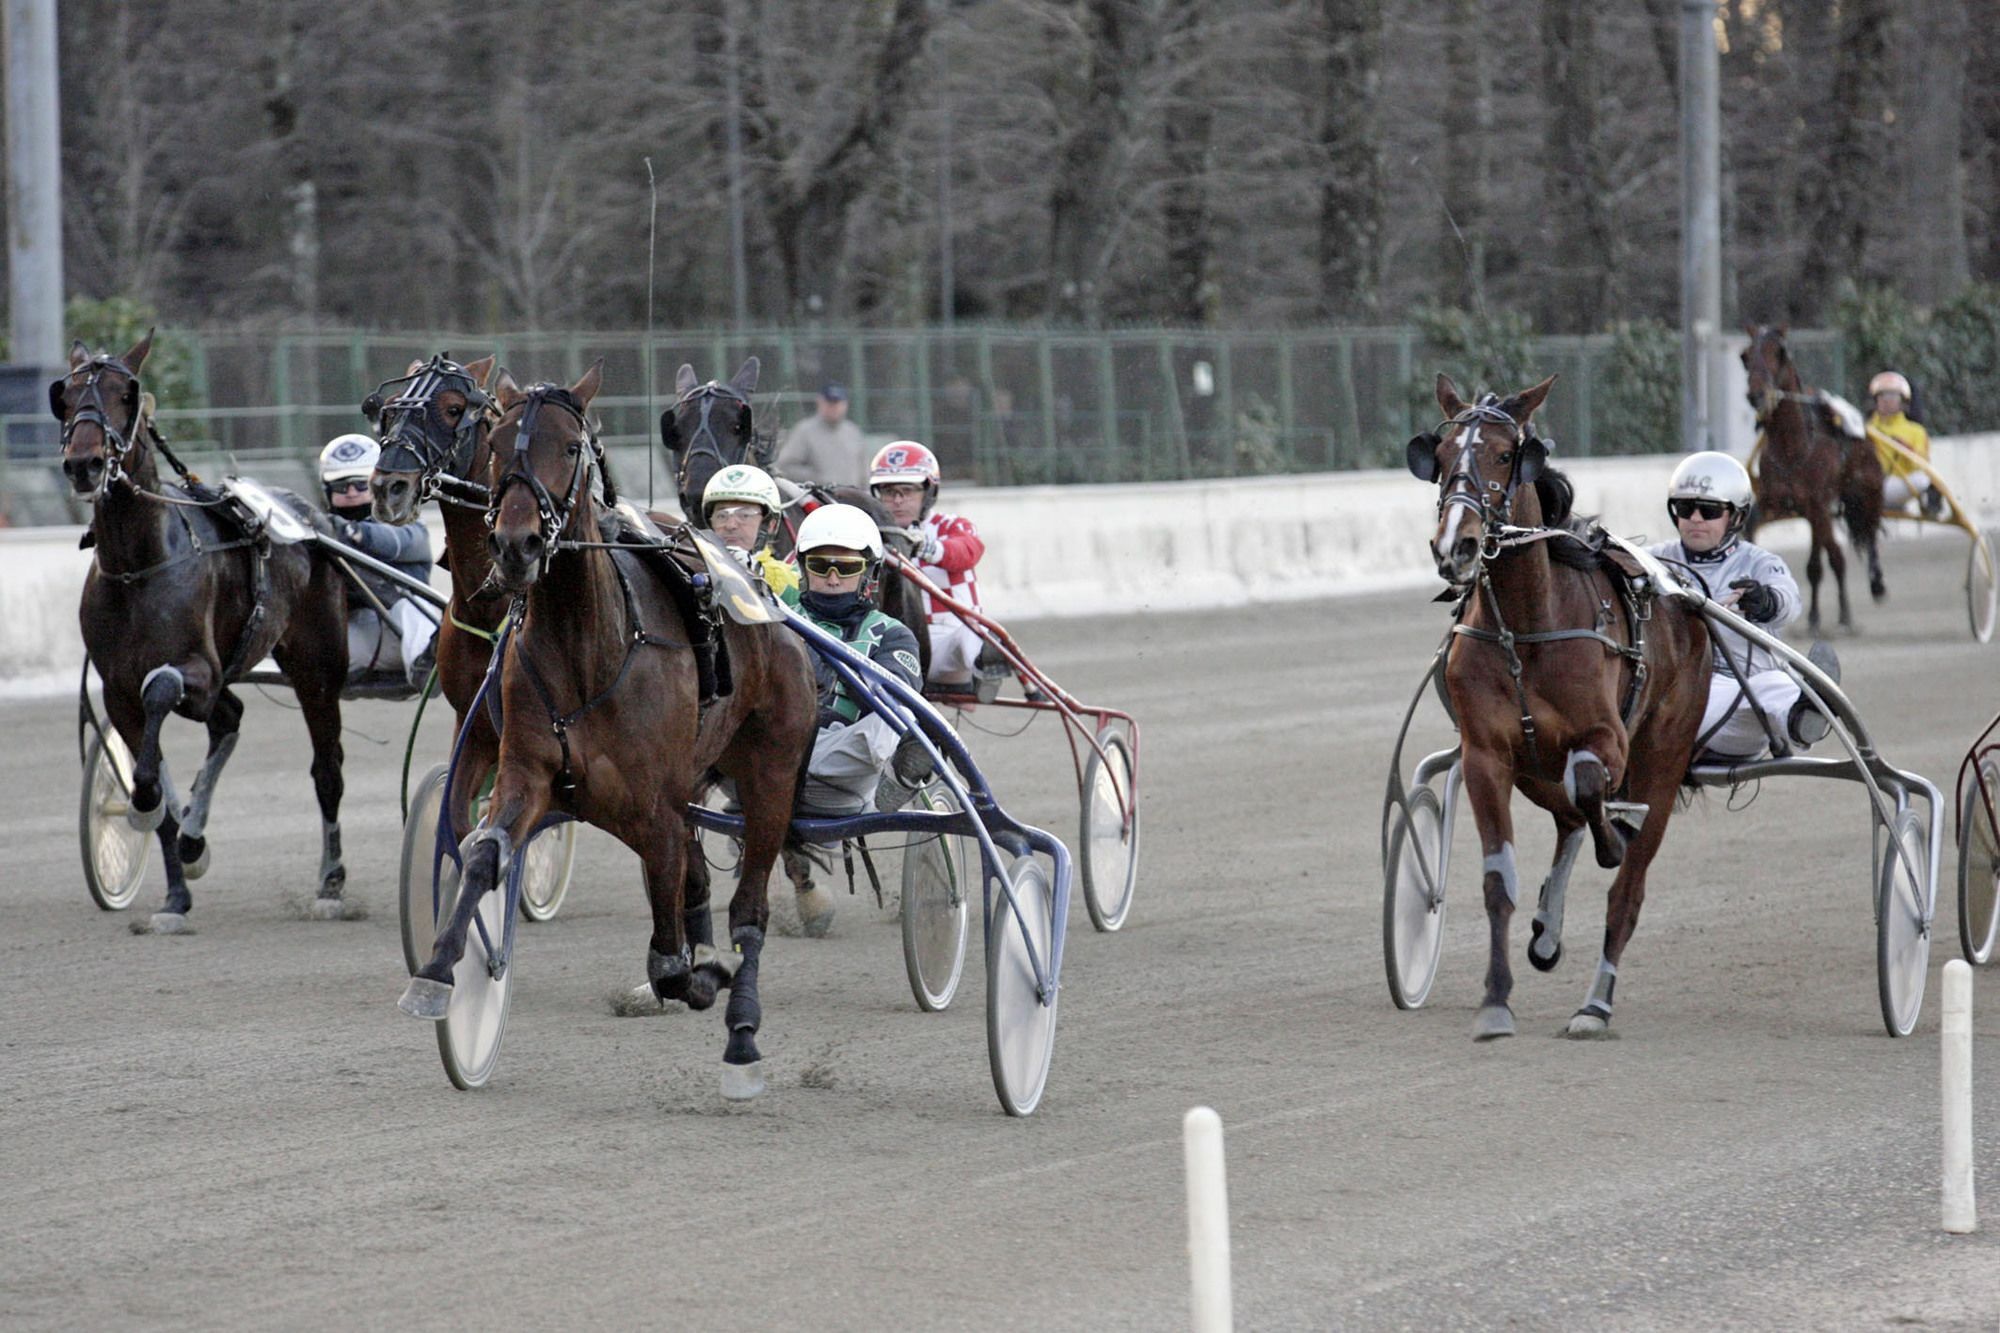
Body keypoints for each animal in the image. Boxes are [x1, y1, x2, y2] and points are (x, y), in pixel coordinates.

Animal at [56, 332, 354, 924]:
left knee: (326, 769)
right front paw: (175, 889)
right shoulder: (118, 687)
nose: (84, 463)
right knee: (231, 716)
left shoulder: (199, 669)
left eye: (126, 393)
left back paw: (330, 883)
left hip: (316, 668)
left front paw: (154, 807)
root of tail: (310, 520)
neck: (137, 566)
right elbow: (151, 772)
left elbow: (161, 689)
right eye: (67, 394)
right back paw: (192, 839)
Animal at [402, 360, 816, 1088]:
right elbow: (480, 852)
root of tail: (769, 598)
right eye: (497, 444)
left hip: (771, 773)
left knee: (751, 909)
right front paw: (440, 972)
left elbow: (670, 958)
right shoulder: (524, 768)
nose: (515, 545)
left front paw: (701, 979)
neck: (588, 644)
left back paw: (741, 1030)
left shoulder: (653, 806)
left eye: (570, 448)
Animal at [1416, 374, 1712, 1040]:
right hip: (1532, 769)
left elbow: (1590, 784)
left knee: (1624, 884)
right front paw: (1496, 1001)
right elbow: (1499, 879)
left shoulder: (1608, 738)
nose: (1456, 547)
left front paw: (1613, 840)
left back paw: (1595, 1004)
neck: (1526, 630)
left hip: (1663, 757)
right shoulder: (1487, 756)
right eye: (1441, 457)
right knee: (1569, 817)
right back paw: (1549, 930)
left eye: (1506, 455)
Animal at [1744, 324, 1880, 632]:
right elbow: (1751, 528)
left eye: (1779, 352)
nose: (1757, 394)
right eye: (1744, 356)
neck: (1792, 448)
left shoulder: (1818, 504)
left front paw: (1835, 617)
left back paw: (1873, 587)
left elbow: (1827, 560)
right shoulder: (1775, 503)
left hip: (1866, 494)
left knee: (1867, 532)